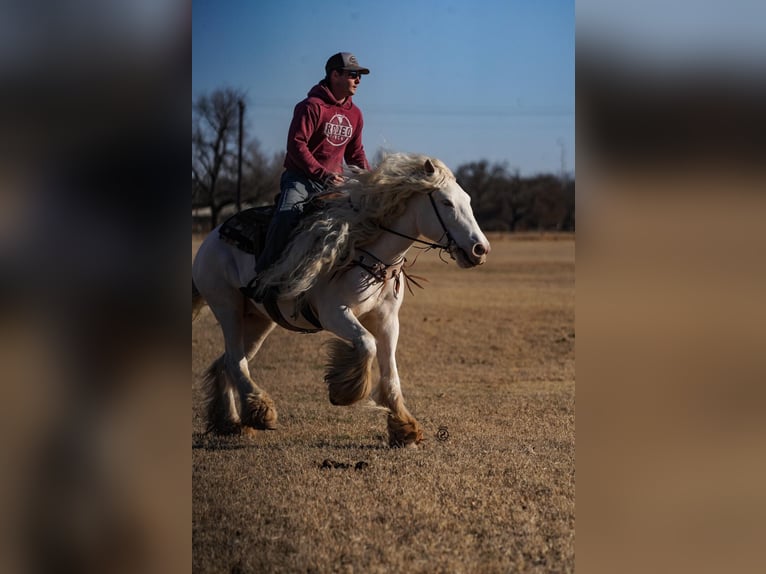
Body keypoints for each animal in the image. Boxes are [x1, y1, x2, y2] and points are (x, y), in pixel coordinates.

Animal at [192, 154, 492, 450]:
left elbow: (391, 374)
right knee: (234, 360)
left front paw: (405, 429)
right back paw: (261, 411)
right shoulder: (334, 313)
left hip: (258, 320)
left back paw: (231, 422)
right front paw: (343, 392)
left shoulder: (387, 320)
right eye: (446, 202)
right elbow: (366, 344)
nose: (480, 249)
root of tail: (211, 238)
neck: (366, 252)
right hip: (227, 306)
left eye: (467, 201)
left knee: (227, 361)